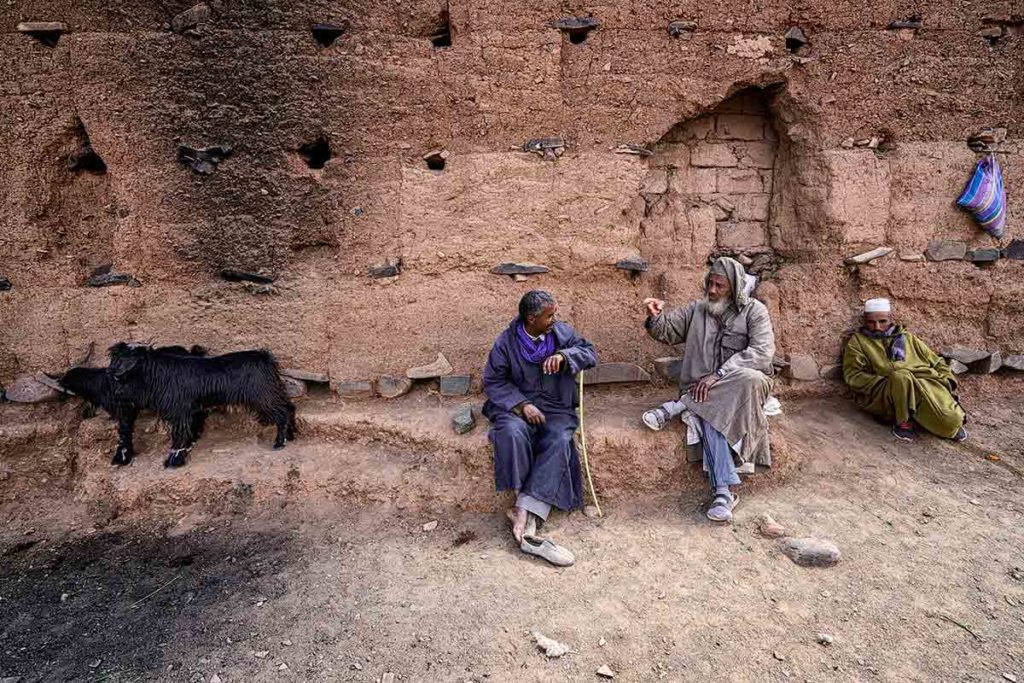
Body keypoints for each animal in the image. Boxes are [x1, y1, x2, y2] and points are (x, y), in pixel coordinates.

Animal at [57, 344, 207, 466]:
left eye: (67, 377)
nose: (58, 380)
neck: (102, 383)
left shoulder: (125, 406)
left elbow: (124, 428)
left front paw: (122, 456)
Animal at [109, 344, 299, 466]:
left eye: (124, 367)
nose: (117, 395)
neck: (157, 374)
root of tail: (265, 358)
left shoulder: (180, 411)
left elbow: (178, 435)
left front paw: (174, 461)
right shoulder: (191, 411)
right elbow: (189, 431)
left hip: (263, 396)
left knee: (282, 412)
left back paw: (280, 443)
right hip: (271, 392)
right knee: (289, 407)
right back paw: (290, 436)